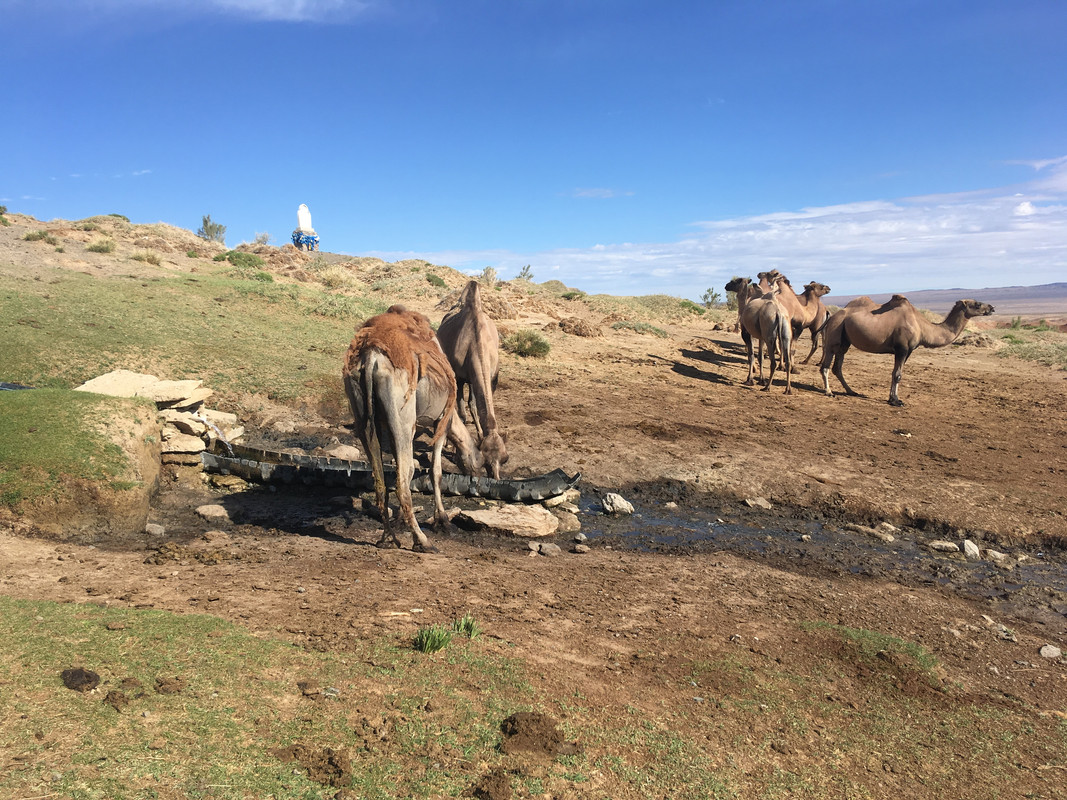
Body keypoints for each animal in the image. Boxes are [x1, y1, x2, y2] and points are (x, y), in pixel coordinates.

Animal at [341, 302, 484, 554]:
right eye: (479, 461)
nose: (475, 480)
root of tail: (371, 358)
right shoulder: (441, 421)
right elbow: (435, 471)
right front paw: (442, 521)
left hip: (363, 414)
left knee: (381, 478)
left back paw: (387, 538)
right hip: (403, 415)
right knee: (402, 478)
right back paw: (422, 541)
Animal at [437, 281, 512, 482]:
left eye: (505, 458)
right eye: (484, 461)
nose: (495, 477)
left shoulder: (492, 378)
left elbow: (480, 408)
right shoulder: (459, 377)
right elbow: (462, 414)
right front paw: (454, 449)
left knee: (473, 402)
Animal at [819, 294, 994, 407]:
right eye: (977, 304)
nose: (992, 307)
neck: (922, 327)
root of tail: (832, 316)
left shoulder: (908, 351)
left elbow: (896, 374)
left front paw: (893, 398)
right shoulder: (902, 348)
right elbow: (897, 375)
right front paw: (896, 401)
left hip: (845, 341)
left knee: (837, 367)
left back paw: (852, 391)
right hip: (834, 335)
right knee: (826, 366)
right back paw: (829, 391)